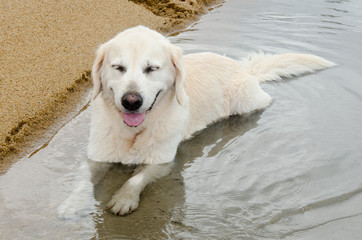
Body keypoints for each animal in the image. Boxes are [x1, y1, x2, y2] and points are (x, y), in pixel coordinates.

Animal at [86, 25, 332, 216]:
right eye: (118, 68)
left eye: (151, 68)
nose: (131, 101)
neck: (133, 132)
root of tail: (243, 68)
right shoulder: (97, 158)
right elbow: (86, 182)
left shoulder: (161, 160)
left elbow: (136, 178)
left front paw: (124, 198)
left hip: (244, 101)